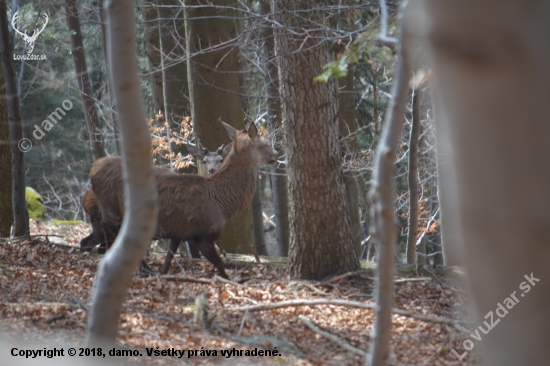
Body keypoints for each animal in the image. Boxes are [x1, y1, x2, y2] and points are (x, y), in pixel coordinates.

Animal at [84, 121, 278, 278]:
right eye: (265, 144)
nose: (276, 155)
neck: (221, 206)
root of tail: (93, 169)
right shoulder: (202, 233)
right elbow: (221, 267)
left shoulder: (178, 232)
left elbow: (167, 262)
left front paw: (161, 273)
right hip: (111, 211)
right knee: (107, 232)